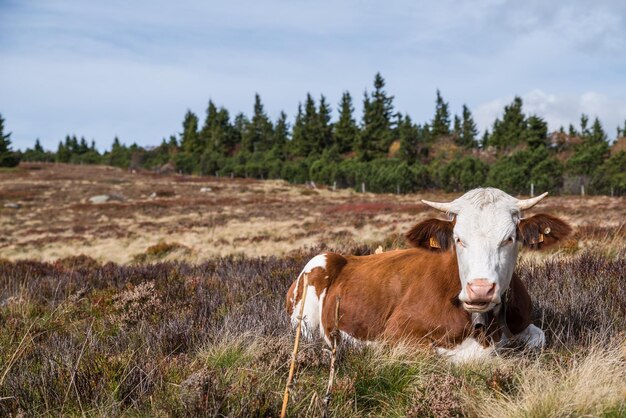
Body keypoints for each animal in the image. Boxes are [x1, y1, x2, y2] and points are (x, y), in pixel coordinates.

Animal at [286, 188, 568, 360]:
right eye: (458, 239)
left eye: (509, 239)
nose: (480, 289)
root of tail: (344, 256)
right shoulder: (395, 336)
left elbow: (539, 337)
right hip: (307, 307)